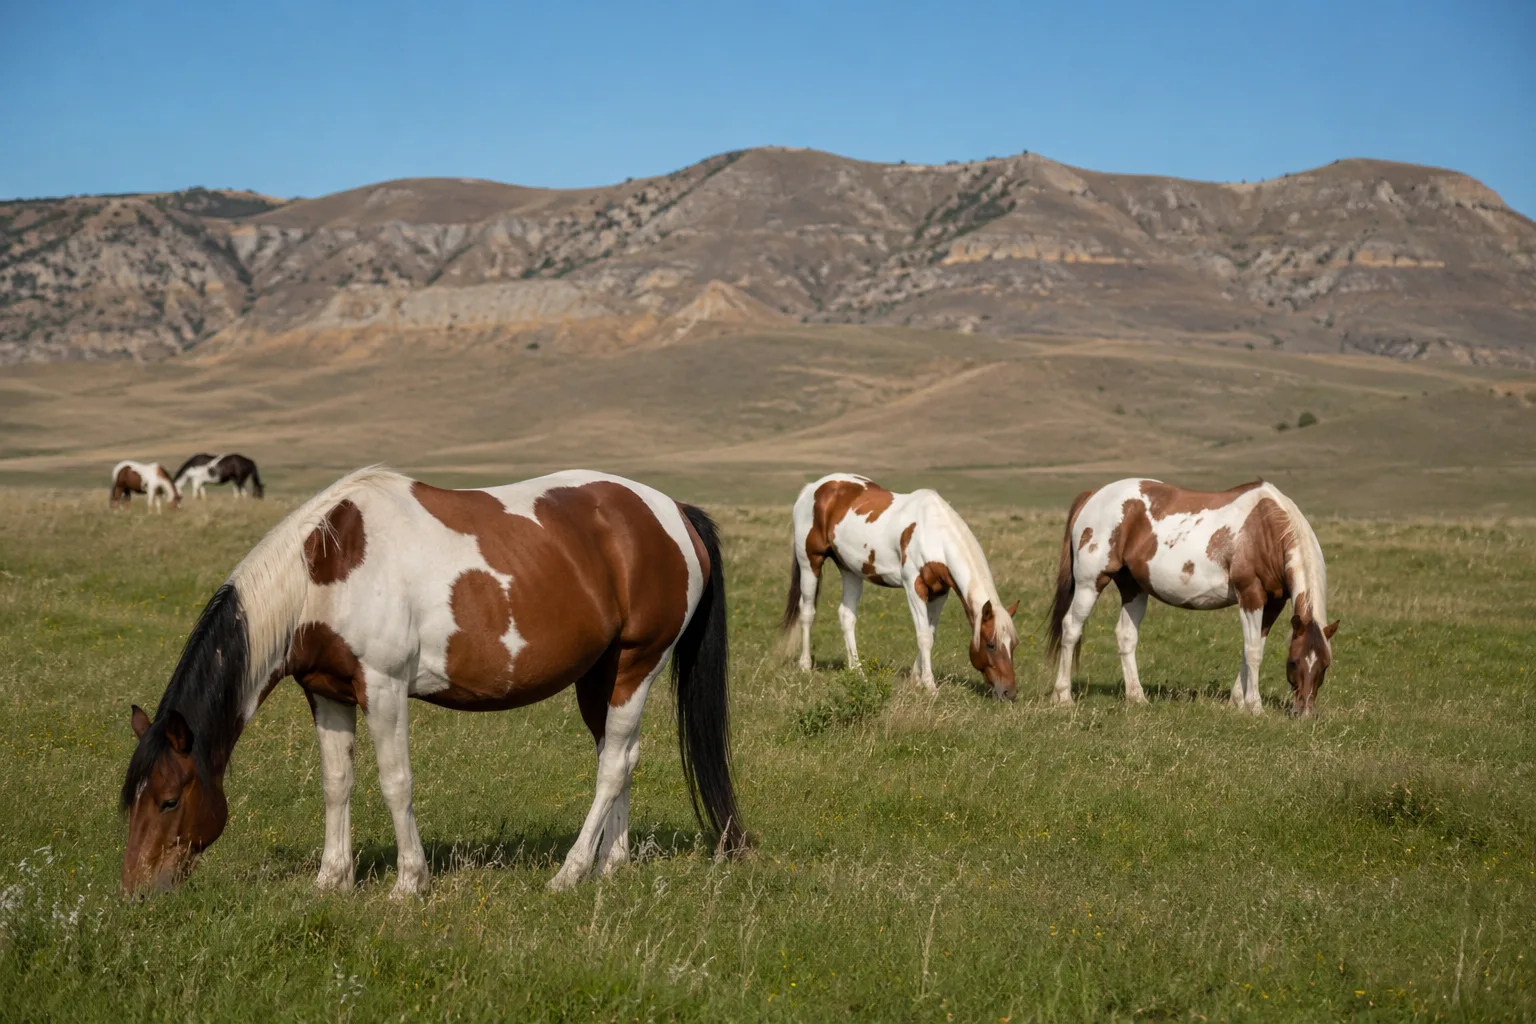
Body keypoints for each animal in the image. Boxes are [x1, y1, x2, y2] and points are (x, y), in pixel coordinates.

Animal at [120, 468, 746, 896]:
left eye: (170, 799)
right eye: (133, 798)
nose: (137, 889)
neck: (325, 566)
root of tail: (673, 511)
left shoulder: (383, 687)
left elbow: (396, 781)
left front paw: (409, 882)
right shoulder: (326, 692)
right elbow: (337, 783)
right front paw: (331, 880)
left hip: (636, 665)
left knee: (614, 764)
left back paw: (569, 874)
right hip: (602, 675)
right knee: (620, 759)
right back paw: (611, 865)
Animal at [782, 474, 1019, 699]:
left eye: (1014, 645)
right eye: (990, 644)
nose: (1009, 692)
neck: (933, 534)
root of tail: (813, 487)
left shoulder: (939, 593)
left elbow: (930, 634)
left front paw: (916, 678)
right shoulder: (914, 588)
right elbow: (923, 636)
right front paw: (930, 686)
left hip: (850, 570)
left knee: (846, 616)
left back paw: (857, 671)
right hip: (810, 562)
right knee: (807, 612)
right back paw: (805, 666)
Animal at [1046, 478, 1339, 715]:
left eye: (1324, 666)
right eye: (1293, 662)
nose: (1304, 713)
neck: (1266, 530)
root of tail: (1093, 495)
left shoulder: (1274, 602)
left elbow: (1252, 648)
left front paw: (1237, 701)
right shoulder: (1251, 595)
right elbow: (1254, 651)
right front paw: (1254, 707)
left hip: (1133, 588)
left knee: (1126, 636)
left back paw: (1137, 697)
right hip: (1090, 583)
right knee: (1071, 629)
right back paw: (1063, 696)